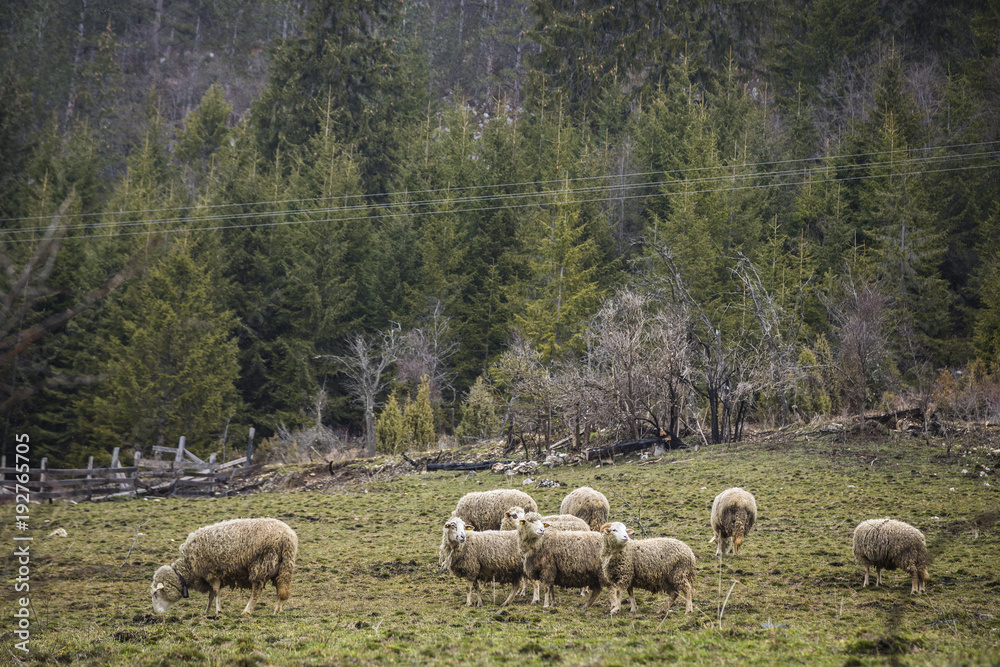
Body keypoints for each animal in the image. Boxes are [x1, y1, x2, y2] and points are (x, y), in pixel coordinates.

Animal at [151, 518, 297, 616]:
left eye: (155, 594)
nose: (157, 613)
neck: (189, 567)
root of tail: (287, 536)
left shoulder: (211, 573)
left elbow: (215, 592)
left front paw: (218, 610)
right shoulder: (209, 576)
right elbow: (211, 594)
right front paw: (207, 610)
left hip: (261, 564)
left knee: (256, 591)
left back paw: (247, 610)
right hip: (284, 567)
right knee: (281, 588)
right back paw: (277, 610)